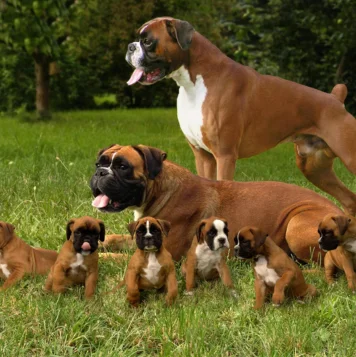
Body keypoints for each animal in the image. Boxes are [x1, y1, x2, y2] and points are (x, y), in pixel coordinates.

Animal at [90, 143, 344, 262]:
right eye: (99, 163)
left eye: (123, 167)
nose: (100, 173)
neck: (160, 190)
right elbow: (114, 240)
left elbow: (116, 257)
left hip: (296, 224)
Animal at [126, 16, 356, 216]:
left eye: (147, 41)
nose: (130, 47)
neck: (194, 83)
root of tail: (335, 99)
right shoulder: (203, 156)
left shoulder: (225, 156)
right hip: (314, 168)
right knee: (349, 200)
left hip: (348, 158)